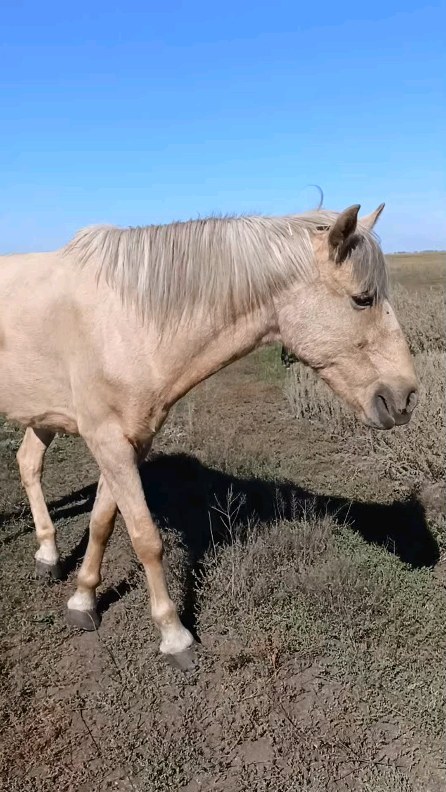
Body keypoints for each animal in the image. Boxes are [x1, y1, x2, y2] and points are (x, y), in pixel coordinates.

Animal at [0, 203, 418, 669]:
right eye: (362, 299)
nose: (405, 397)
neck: (129, 320)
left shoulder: (128, 443)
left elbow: (102, 522)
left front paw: (83, 598)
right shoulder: (107, 441)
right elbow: (146, 539)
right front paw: (174, 635)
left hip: (43, 414)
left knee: (28, 464)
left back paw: (48, 556)